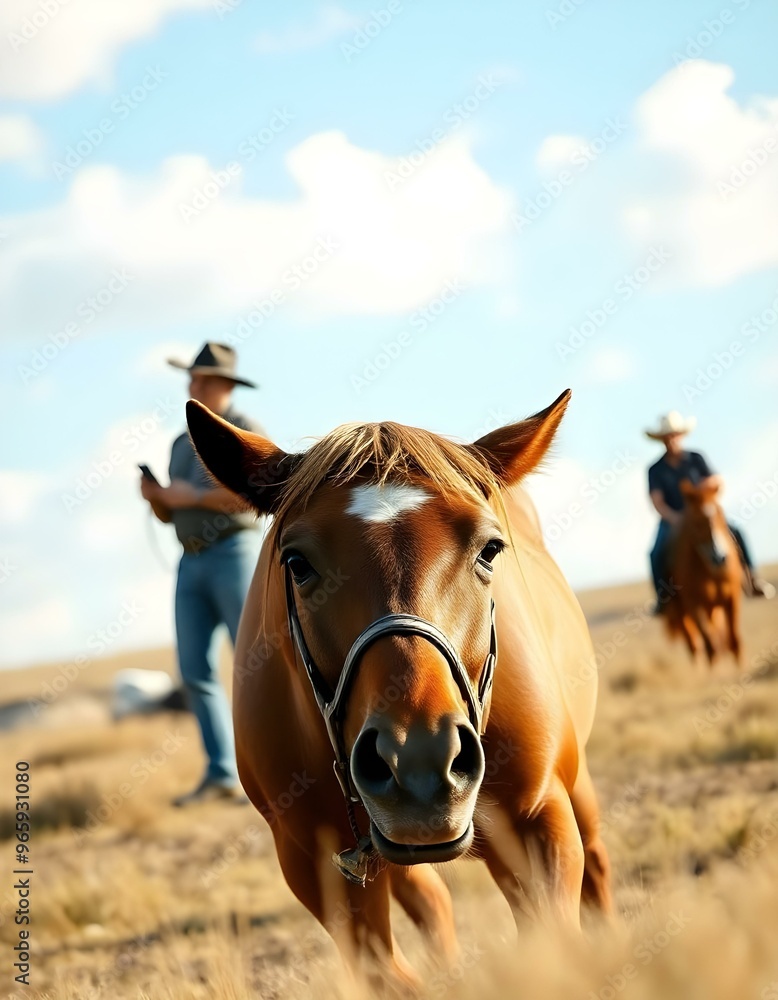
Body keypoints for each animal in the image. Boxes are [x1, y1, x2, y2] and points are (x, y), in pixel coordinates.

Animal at [186, 389, 613, 986]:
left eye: (489, 550)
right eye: (296, 562)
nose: (420, 759)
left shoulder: (538, 821)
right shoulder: (316, 864)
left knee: (597, 864)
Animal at [662, 480, 743, 665]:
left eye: (719, 514)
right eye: (696, 521)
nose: (719, 557)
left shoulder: (731, 597)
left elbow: (734, 641)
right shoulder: (694, 605)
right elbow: (710, 646)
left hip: (712, 608)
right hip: (682, 611)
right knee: (694, 645)